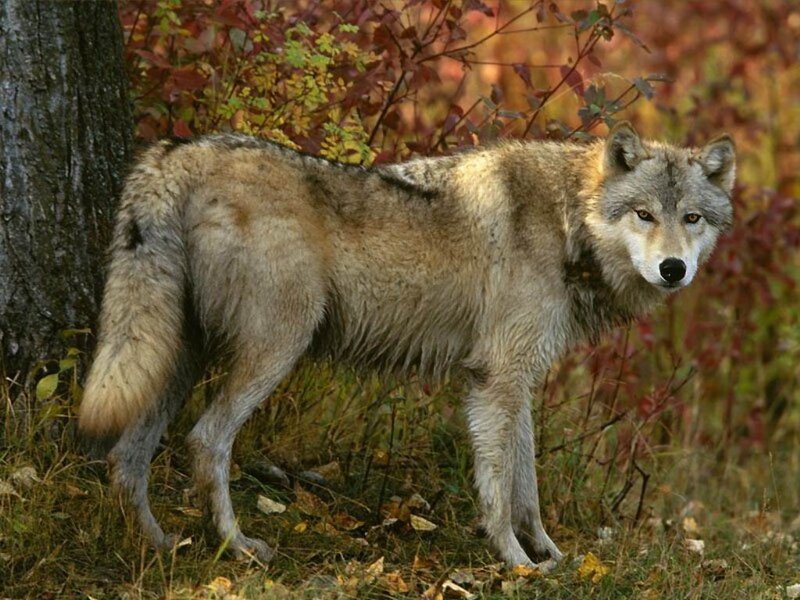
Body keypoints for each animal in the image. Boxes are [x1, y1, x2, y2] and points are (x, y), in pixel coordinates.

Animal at [78, 122, 734, 568]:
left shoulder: (513, 380)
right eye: (644, 215)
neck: (567, 219)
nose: (674, 269)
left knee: (126, 457)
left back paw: (159, 545)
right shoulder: (497, 379)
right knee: (205, 440)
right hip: (273, 350)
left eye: (693, 218)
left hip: (175, 358)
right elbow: (501, 491)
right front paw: (516, 563)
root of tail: (178, 152)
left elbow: (526, 486)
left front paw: (550, 556)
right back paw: (236, 547)